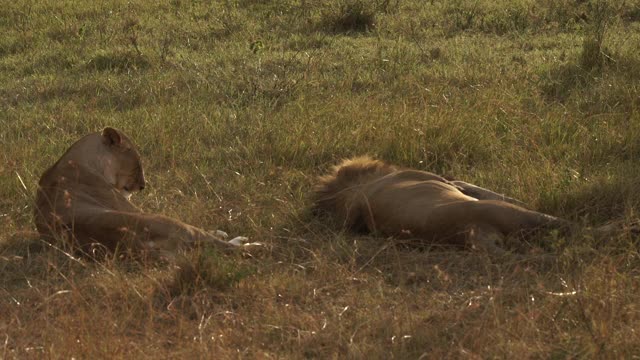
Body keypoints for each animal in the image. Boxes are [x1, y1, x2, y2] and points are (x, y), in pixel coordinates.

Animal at [33, 126, 248, 256]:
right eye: (137, 164)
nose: (143, 186)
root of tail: (133, 243)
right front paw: (221, 232)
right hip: (167, 221)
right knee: (221, 245)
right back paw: (244, 242)